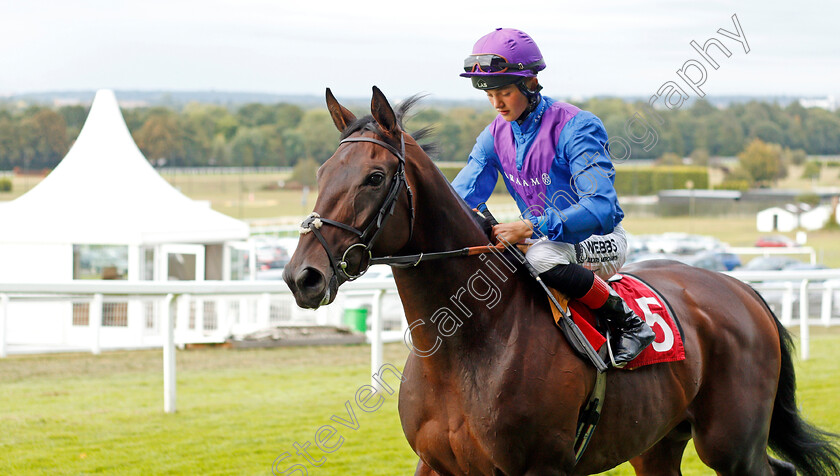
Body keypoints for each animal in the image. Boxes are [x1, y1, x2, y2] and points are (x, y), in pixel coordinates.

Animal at [284, 87, 840, 474]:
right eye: (321, 173)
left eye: (374, 177)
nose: (301, 277)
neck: (465, 350)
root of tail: (742, 290)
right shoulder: (436, 463)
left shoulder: (539, 467)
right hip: (658, 442)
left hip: (732, 443)